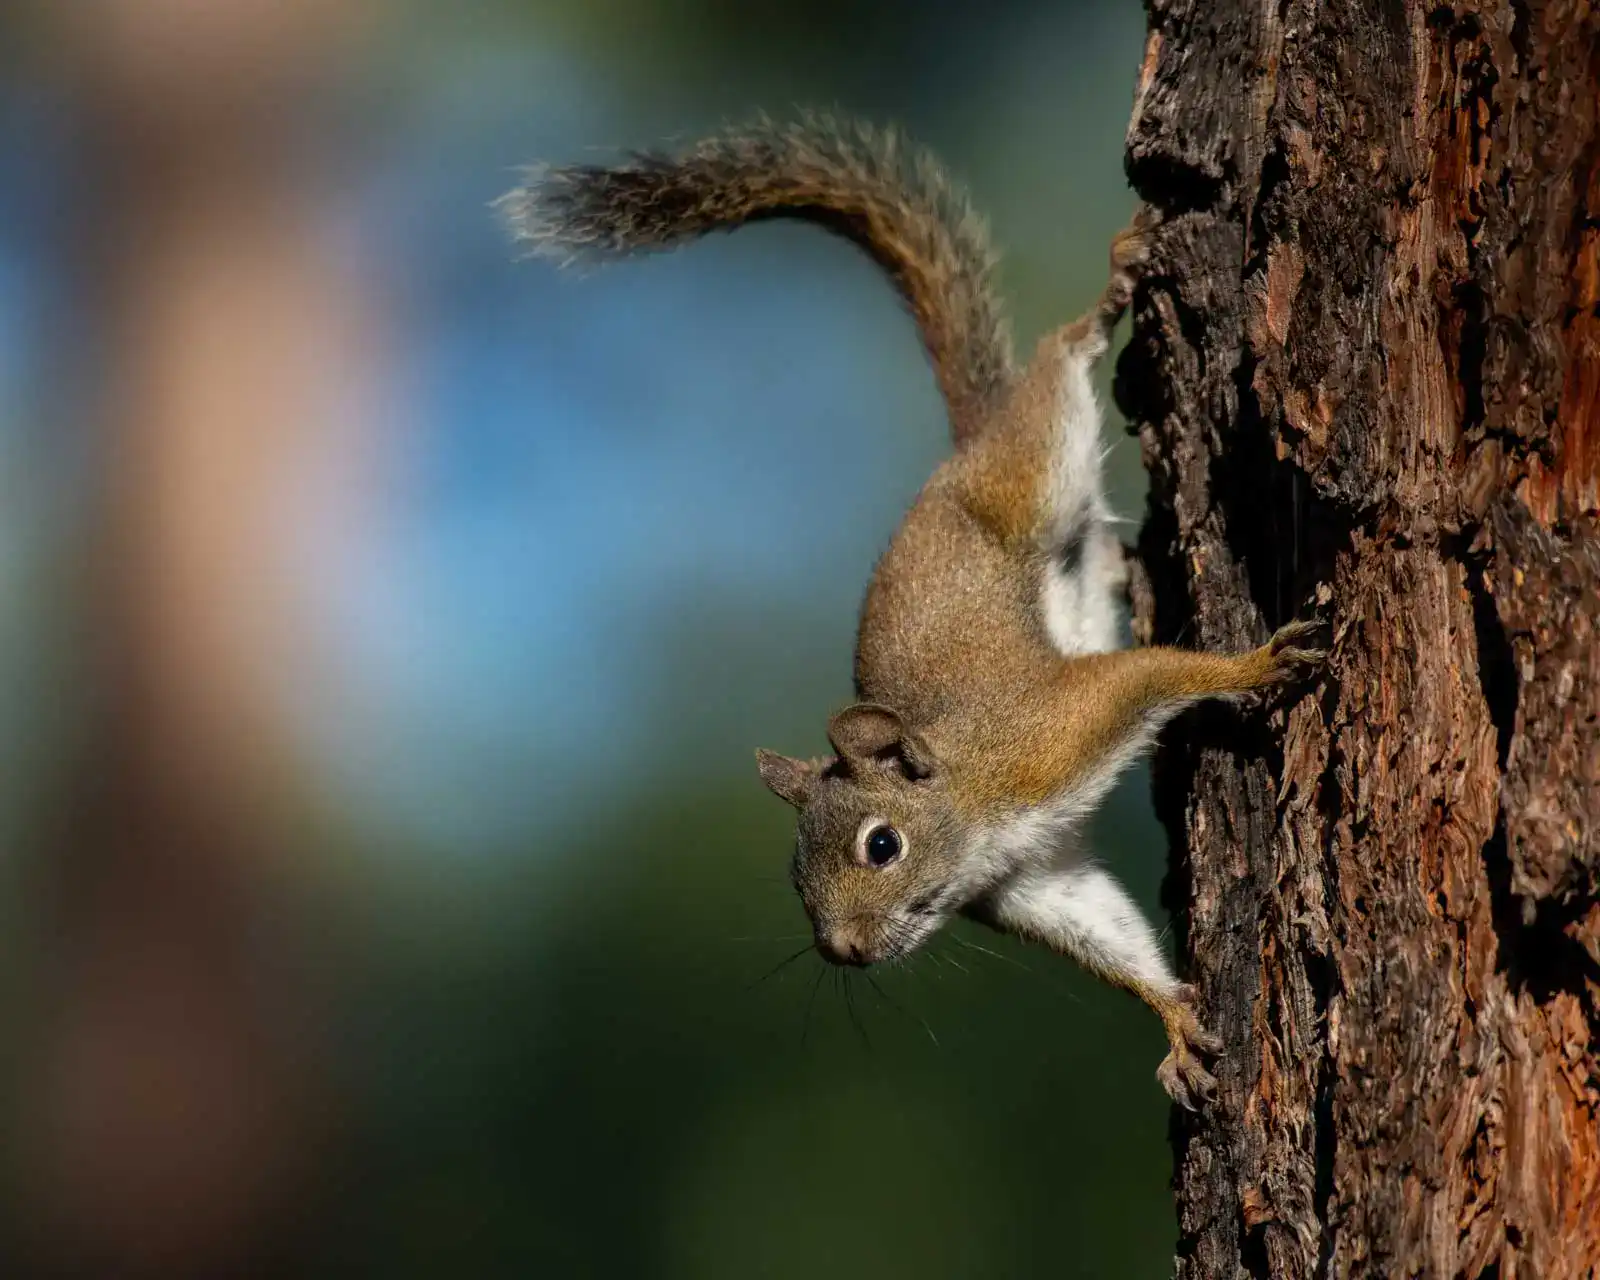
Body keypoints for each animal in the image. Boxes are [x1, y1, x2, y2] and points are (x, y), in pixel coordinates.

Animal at [502, 115, 1324, 1107]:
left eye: (881, 846)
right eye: (794, 874)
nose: (844, 950)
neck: (971, 808)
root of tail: (960, 452)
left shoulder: (1054, 729)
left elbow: (1158, 674)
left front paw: (1258, 664)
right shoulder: (1035, 883)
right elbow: (1108, 934)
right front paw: (1173, 1022)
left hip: (1025, 466)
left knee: (1058, 362)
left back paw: (1113, 285)